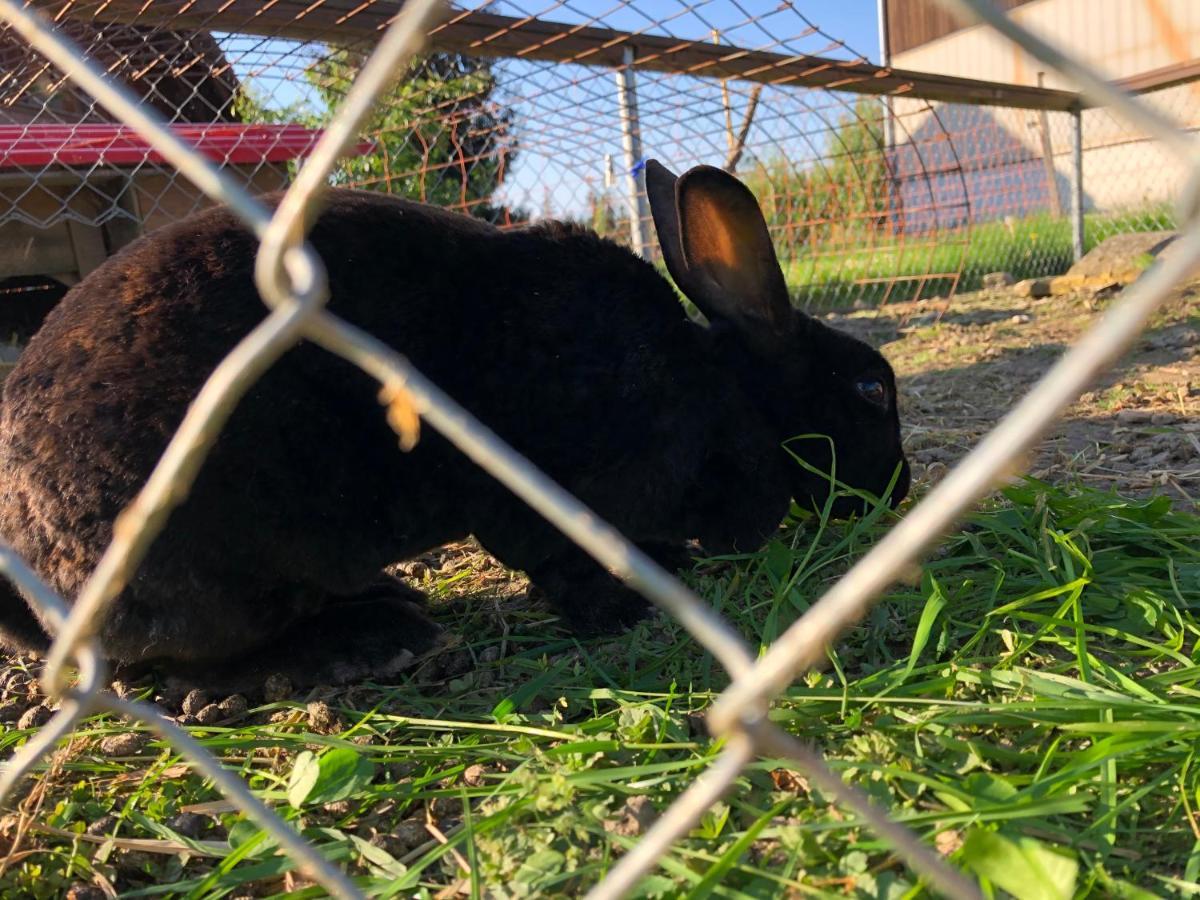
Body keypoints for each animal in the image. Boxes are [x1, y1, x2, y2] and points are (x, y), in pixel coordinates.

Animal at [0, 160, 907, 691]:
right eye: (872, 388)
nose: (900, 490)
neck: (722, 388)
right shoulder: (547, 500)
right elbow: (563, 565)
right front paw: (632, 602)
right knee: (180, 667)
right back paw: (370, 639)